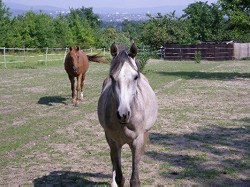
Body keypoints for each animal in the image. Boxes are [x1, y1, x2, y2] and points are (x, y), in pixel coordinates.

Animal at [97, 43, 157, 186]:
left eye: (135, 77)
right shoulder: (114, 142)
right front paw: (116, 181)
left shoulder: (137, 142)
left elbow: (134, 180)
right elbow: (120, 177)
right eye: (112, 77)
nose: (123, 114)